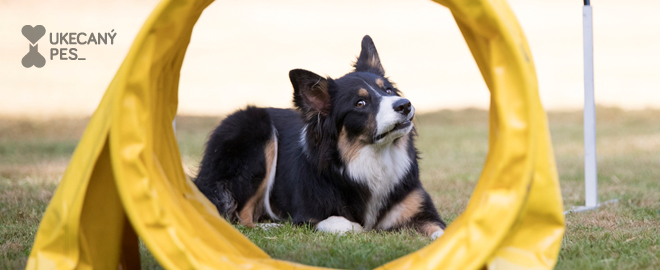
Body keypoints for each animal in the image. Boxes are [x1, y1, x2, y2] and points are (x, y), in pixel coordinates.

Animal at [193, 35, 446, 238]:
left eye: (388, 90)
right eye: (360, 103)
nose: (405, 105)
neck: (371, 159)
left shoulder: (423, 213)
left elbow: (440, 231)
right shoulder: (307, 216)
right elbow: (342, 224)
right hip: (255, 131)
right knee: (239, 218)